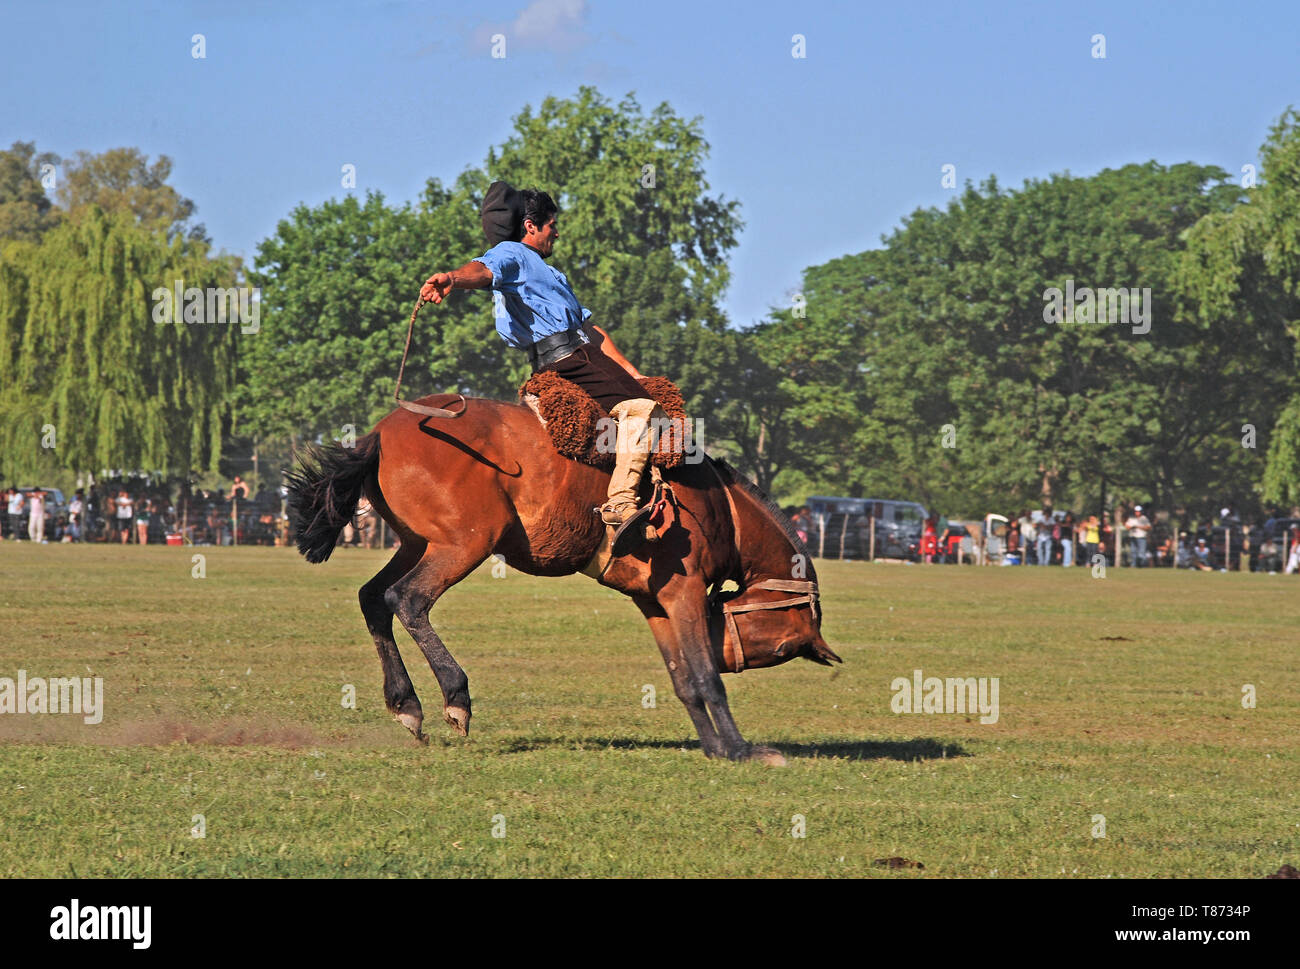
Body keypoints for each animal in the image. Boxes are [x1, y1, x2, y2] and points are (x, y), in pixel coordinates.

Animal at [287, 392, 842, 764]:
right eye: (778, 646)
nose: (730, 657)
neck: (717, 507)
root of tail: (380, 434)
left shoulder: (655, 602)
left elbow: (684, 679)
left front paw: (713, 746)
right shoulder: (682, 591)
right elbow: (705, 677)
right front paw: (739, 749)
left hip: (417, 542)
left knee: (373, 598)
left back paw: (406, 704)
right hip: (464, 544)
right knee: (407, 599)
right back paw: (454, 697)